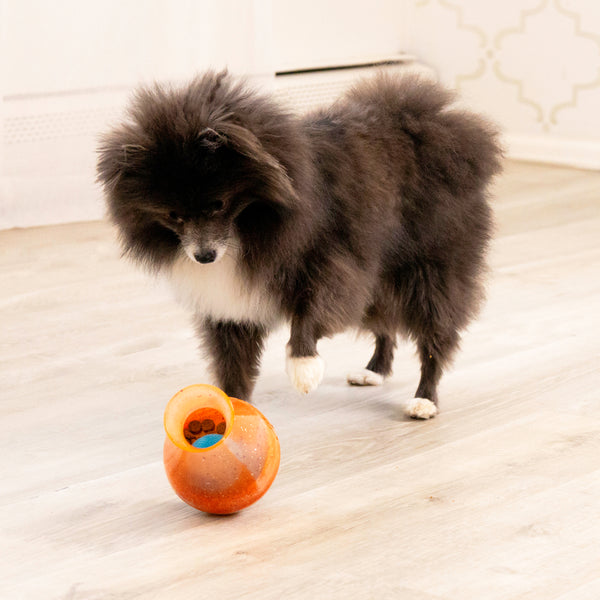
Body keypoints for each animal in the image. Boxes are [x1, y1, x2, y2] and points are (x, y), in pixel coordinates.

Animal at [97, 70, 502, 418]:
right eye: (172, 215)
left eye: (218, 204)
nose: (204, 256)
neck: (249, 228)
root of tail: (444, 129)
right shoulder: (228, 301)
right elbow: (232, 360)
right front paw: (232, 410)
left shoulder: (330, 260)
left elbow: (313, 311)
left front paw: (303, 367)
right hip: (382, 270)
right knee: (384, 322)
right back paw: (373, 370)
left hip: (430, 266)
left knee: (436, 333)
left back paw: (423, 400)